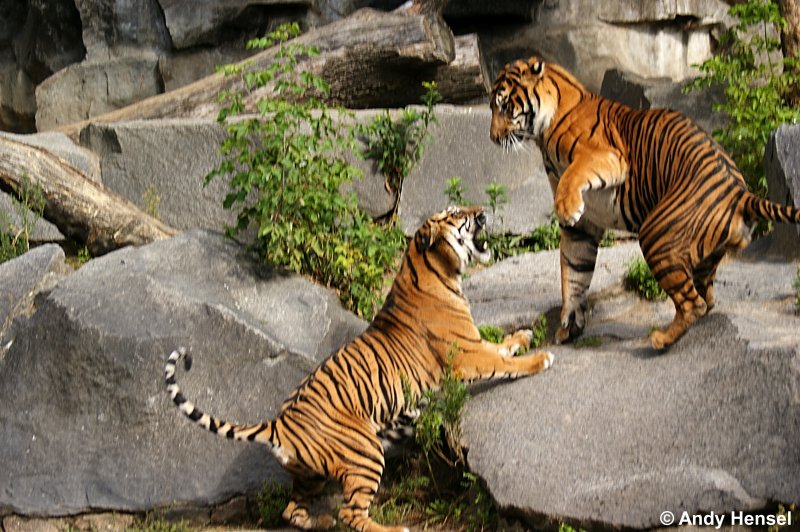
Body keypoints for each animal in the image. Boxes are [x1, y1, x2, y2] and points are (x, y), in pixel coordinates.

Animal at [166, 206, 552, 532]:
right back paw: (394, 529)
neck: (436, 270)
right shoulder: (466, 354)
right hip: (366, 451)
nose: (484, 213)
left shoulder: (473, 343)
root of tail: (280, 424)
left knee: (293, 511)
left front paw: (523, 335)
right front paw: (540, 359)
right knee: (351, 514)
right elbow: (502, 361)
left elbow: (500, 345)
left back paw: (319, 522)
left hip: (310, 474)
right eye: (457, 214)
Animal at [488, 57, 800, 350]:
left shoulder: (609, 156)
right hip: (703, 254)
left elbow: (573, 176)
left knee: (693, 304)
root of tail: (740, 192)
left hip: (656, 234)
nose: (492, 137)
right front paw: (569, 324)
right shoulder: (583, 229)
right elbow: (573, 274)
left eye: (504, 107)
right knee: (706, 298)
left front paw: (566, 208)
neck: (544, 130)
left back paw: (660, 339)